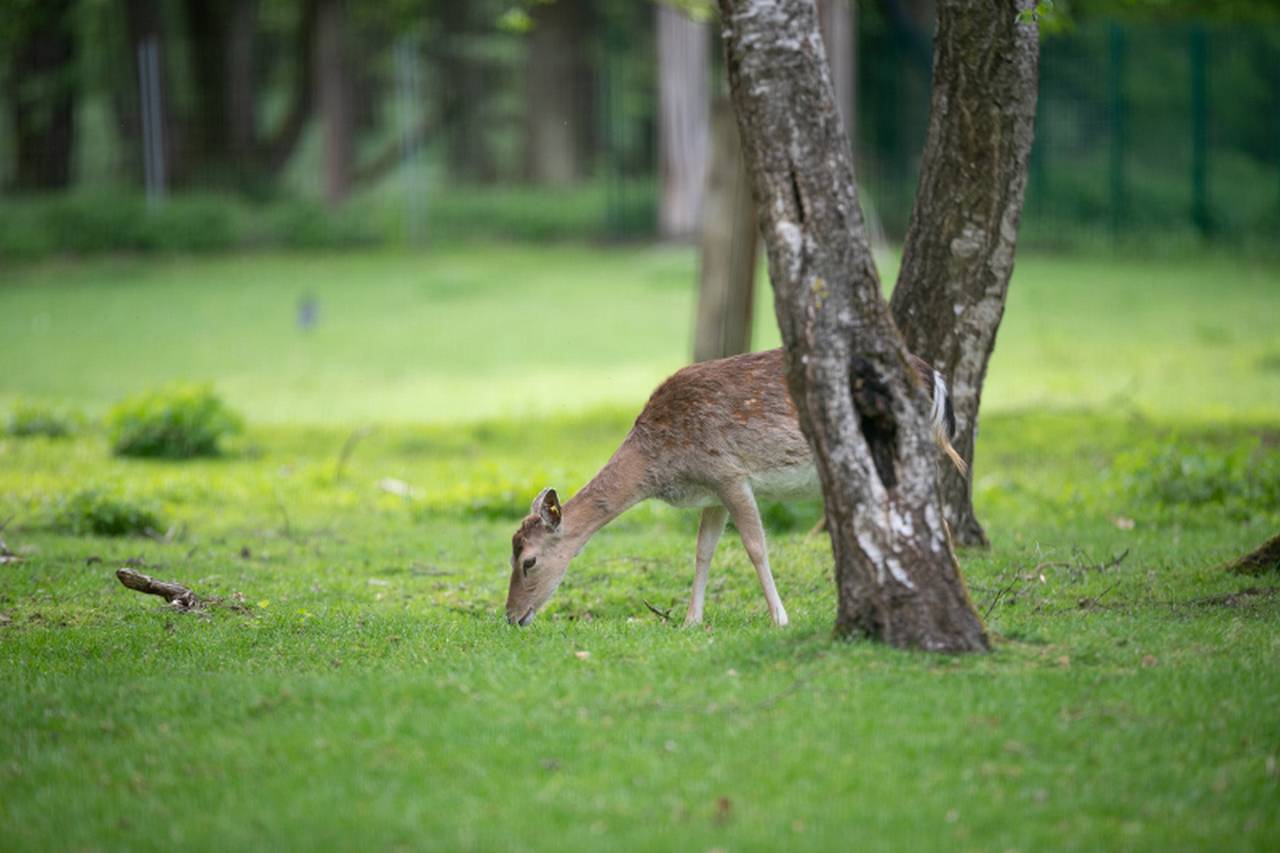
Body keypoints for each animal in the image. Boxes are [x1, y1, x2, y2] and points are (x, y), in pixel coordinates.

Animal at [504, 343, 962, 627]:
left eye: (528, 561)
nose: (510, 616)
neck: (663, 462)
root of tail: (936, 377)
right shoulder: (712, 492)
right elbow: (702, 551)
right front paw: (690, 621)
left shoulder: (729, 472)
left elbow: (756, 547)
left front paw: (780, 618)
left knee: (938, 515)